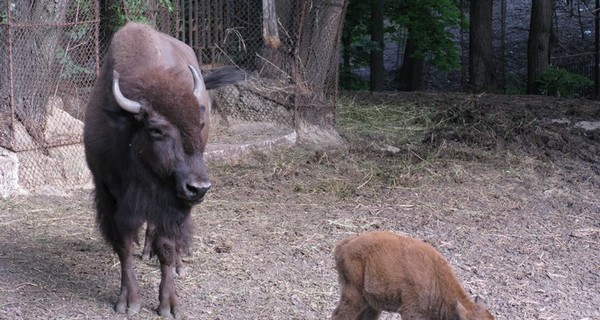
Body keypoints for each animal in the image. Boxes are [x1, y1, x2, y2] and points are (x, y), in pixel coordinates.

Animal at [83, 22, 245, 318]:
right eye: (156, 130)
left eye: (199, 123)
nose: (199, 188)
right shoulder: (109, 194)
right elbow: (123, 245)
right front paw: (128, 301)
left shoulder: (172, 200)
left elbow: (167, 244)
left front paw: (169, 304)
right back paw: (147, 252)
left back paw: (179, 264)